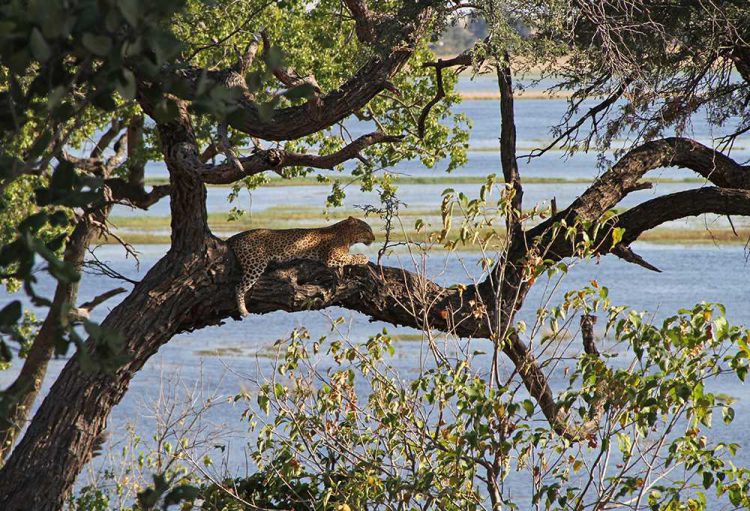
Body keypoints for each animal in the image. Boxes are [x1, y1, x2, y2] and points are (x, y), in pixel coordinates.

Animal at [225, 215, 374, 316]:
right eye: (367, 229)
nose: (373, 239)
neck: (347, 235)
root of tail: (236, 236)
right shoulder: (332, 257)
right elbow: (352, 257)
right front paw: (364, 257)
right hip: (255, 264)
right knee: (239, 287)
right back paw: (243, 311)